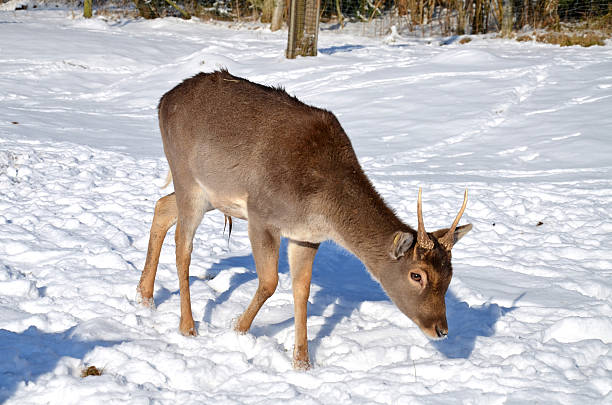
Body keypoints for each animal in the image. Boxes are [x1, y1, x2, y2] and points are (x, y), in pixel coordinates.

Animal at [137, 68, 474, 370]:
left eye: (450, 275)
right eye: (417, 275)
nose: (441, 329)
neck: (323, 207)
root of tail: (163, 101)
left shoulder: (306, 236)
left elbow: (302, 291)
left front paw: (302, 362)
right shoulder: (261, 214)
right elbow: (270, 282)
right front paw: (237, 329)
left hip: (209, 194)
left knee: (162, 206)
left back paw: (145, 296)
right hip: (186, 175)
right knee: (183, 246)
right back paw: (187, 326)